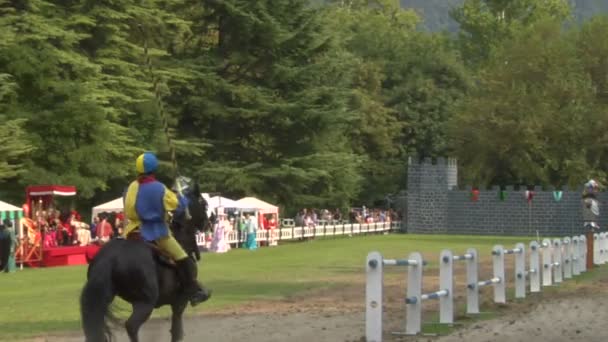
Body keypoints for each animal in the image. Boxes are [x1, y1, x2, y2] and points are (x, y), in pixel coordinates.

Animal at [81, 179, 210, 342]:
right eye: (204, 203)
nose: (208, 224)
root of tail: (109, 259)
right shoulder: (180, 302)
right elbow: (177, 332)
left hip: (104, 300)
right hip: (145, 303)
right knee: (131, 326)